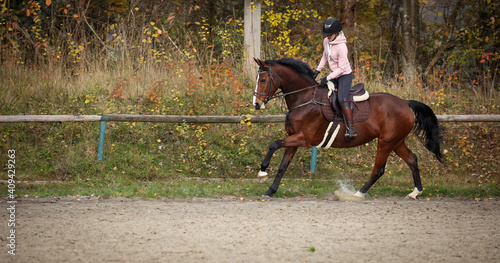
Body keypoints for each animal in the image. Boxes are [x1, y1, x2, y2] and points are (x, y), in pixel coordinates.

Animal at [252, 57, 444, 199]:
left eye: (263, 79)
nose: (256, 104)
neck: (305, 98)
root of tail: (405, 102)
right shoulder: (294, 138)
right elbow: (283, 165)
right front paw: (270, 190)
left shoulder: (303, 137)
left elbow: (274, 144)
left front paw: (262, 173)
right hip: (396, 141)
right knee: (412, 160)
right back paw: (415, 192)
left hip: (386, 142)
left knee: (379, 169)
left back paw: (359, 193)